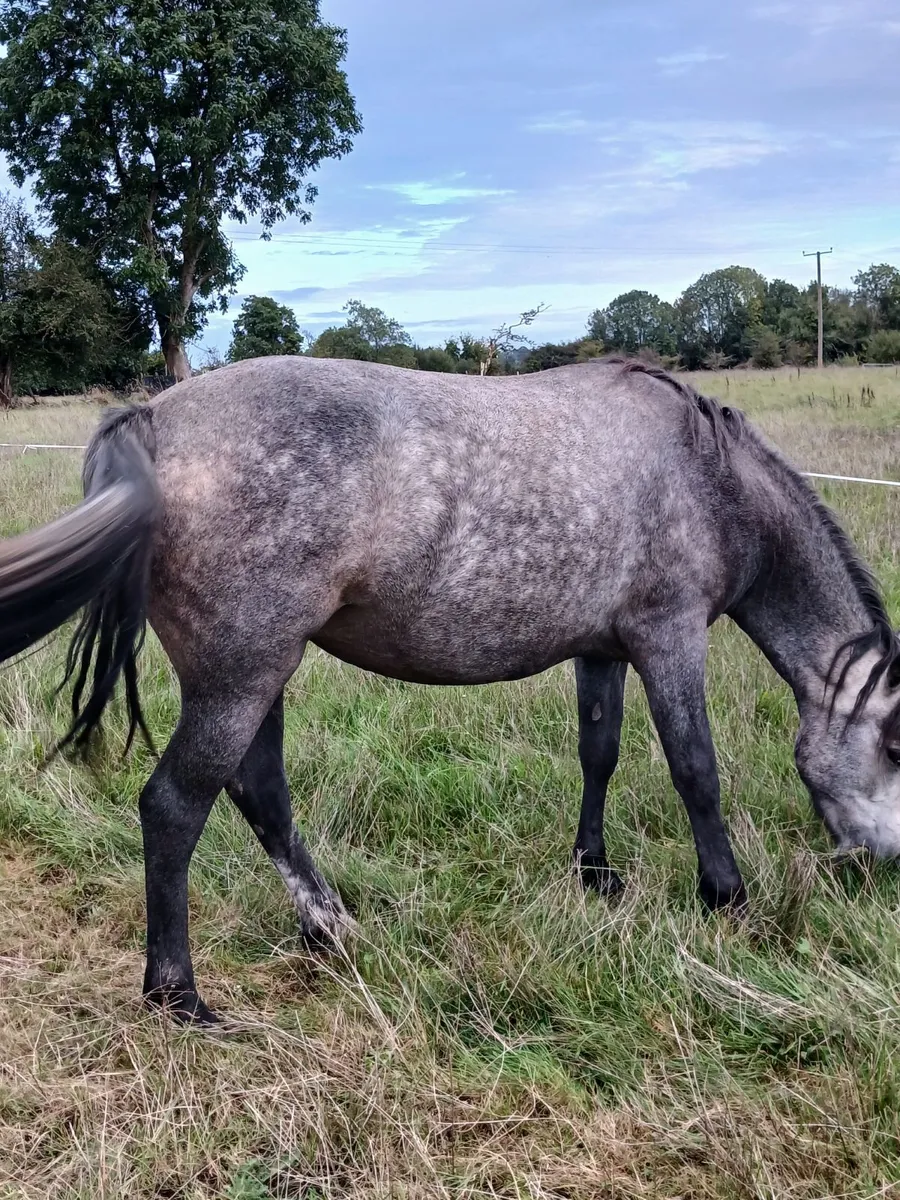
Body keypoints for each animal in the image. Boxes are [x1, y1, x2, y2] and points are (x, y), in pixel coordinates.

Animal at [1, 355, 898, 1024]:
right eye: (894, 746)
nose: (881, 865)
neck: (706, 478)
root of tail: (153, 421)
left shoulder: (601, 648)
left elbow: (599, 753)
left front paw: (595, 873)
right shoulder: (668, 636)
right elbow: (696, 770)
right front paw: (727, 898)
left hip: (256, 674)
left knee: (260, 794)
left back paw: (332, 928)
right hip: (242, 677)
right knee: (175, 807)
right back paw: (180, 996)